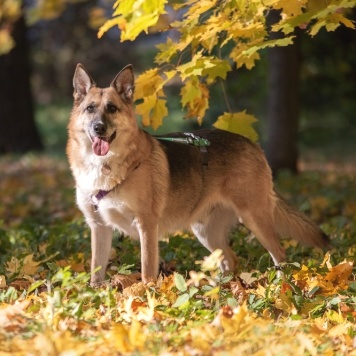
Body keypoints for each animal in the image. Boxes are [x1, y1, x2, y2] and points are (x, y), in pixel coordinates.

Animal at [67, 64, 330, 286]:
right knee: (230, 260)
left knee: (279, 254)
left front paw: (146, 297)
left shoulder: (146, 225)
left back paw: (281, 286)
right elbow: (96, 272)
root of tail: (252, 144)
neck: (104, 166)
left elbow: (147, 271)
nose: (98, 128)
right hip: (205, 231)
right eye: (90, 109)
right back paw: (222, 289)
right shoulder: (99, 227)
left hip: (254, 218)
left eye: (112, 108)